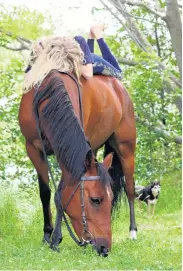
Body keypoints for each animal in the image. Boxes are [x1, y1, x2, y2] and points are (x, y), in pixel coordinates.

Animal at [18, 70, 137, 258]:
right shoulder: (33, 149)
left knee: (131, 189)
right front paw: (48, 235)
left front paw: (56, 238)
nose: (105, 248)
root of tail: (118, 86)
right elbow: (45, 193)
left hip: (126, 148)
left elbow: (60, 194)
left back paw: (133, 231)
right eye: (95, 200)